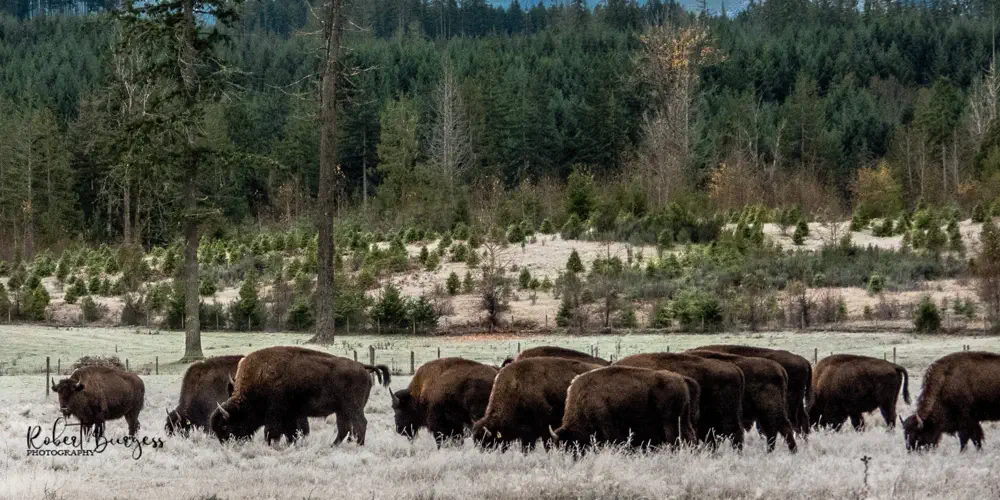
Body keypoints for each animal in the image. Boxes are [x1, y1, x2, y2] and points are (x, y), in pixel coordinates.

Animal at [210, 346, 389, 445]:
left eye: (224, 427)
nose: (226, 445)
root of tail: (363, 367)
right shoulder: (291, 416)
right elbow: (292, 433)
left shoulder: (275, 415)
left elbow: (272, 432)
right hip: (342, 411)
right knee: (344, 428)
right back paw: (333, 446)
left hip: (353, 408)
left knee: (360, 424)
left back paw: (358, 445)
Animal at [550, 365, 699, 450]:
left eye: (569, 444)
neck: (583, 397)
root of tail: (681, 379)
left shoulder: (608, 426)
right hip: (682, 418)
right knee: (689, 436)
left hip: (670, 421)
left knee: (674, 438)